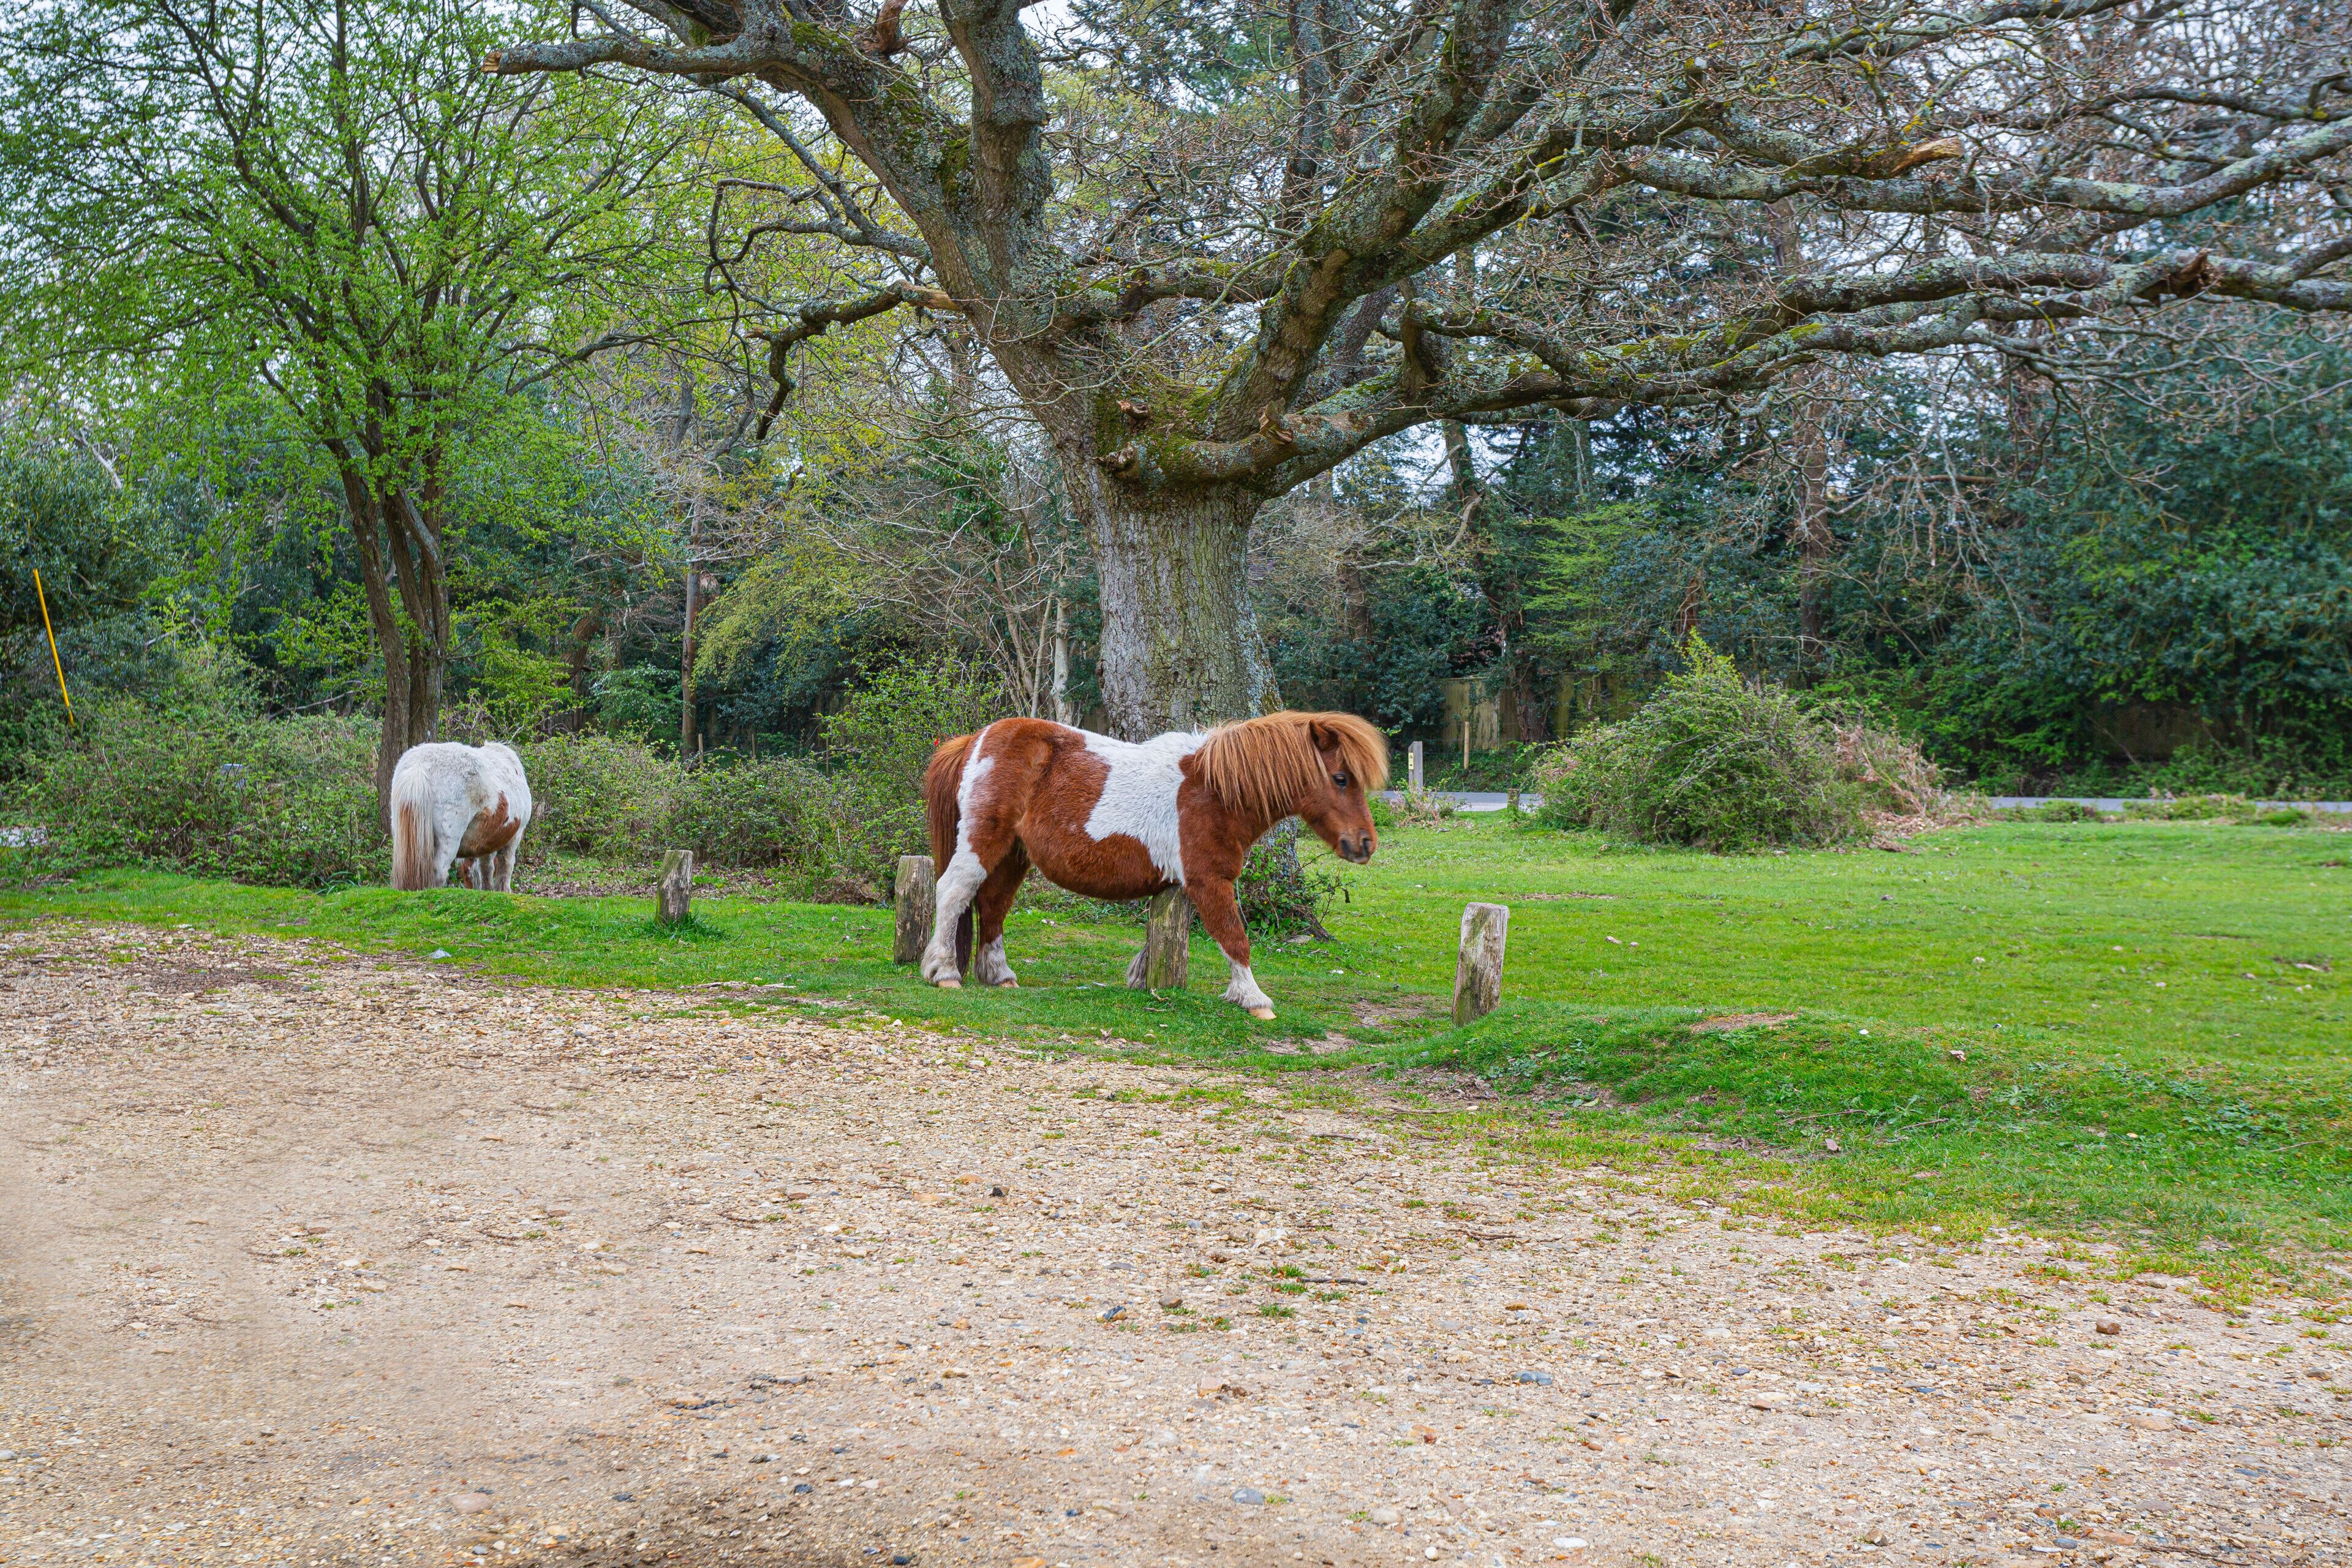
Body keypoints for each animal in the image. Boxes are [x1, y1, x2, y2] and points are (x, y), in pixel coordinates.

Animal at [388, 741, 534, 892]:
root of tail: (419, 766)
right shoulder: (514, 837)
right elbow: (505, 867)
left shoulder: (485, 841)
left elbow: (484, 869)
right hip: (449, 841)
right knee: (439, 871)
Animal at [920, 711, 1387, 1018]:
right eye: (1341, 778)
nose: (1365, 843)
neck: (1214, 791)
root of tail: (975, 739)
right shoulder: (1210, 881)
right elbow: (1235, 938)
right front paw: (1254, 999)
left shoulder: (1182, 885)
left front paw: (1143, 977)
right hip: (983, 843)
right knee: (954, 892)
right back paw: (944, 972)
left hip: (1015, 855)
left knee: (993, 906)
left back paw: (1000, 975)